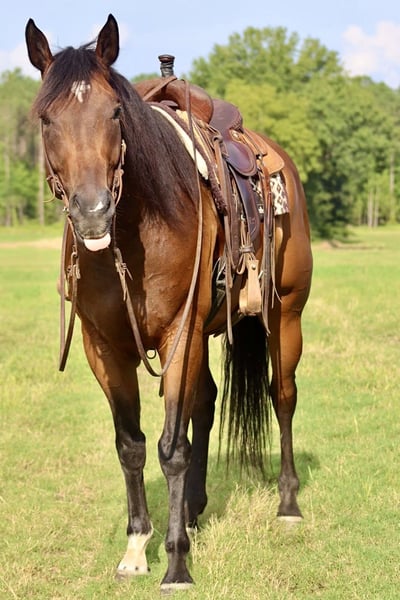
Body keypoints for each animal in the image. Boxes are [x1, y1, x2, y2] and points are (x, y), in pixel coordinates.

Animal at [26, 14, 312, 591]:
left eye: (115, 112)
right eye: (46, 118)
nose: (92, 212)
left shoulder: (179, 333)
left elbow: (171, 449)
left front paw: (177, 564)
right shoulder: (102, 346)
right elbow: (132, 444)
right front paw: (138, 547)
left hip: (284, 316)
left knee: (282, 396)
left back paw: (288, 504)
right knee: (207, 402)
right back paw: (196, 510)